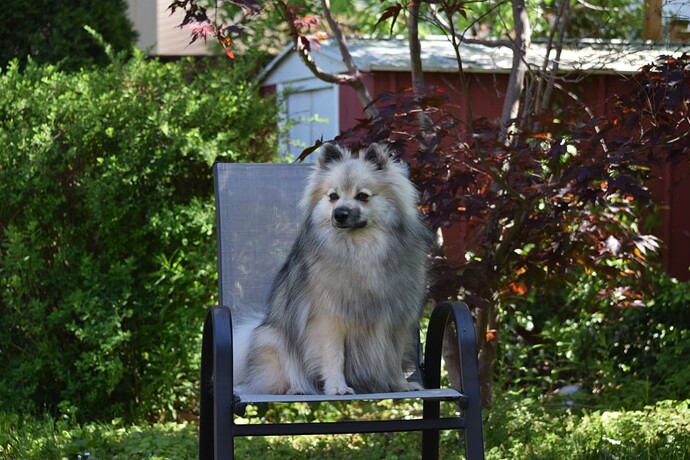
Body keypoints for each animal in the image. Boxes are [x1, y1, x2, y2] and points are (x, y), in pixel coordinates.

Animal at [234, 144, 432, 396]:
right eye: (333, 196)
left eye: (362, 196)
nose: (339, 213)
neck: (361, 250)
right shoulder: (329, 321)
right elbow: (334, 356)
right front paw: (338, 387)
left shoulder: (395, 321)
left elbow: (393, 358)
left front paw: (400, 384)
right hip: (274, 339)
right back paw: (296, 388)